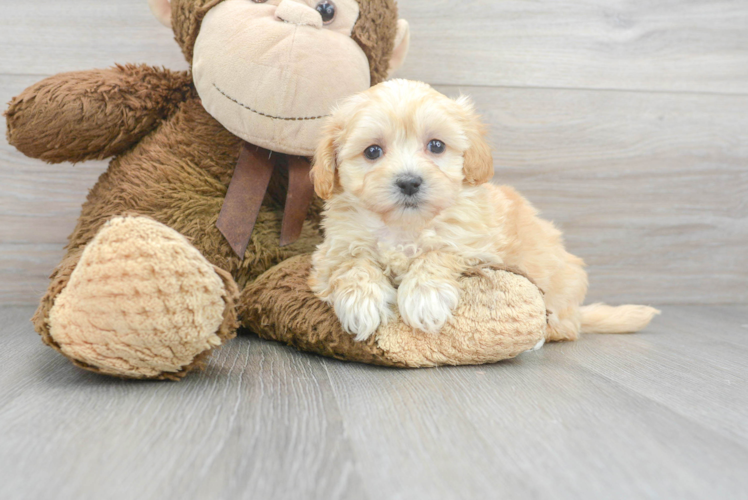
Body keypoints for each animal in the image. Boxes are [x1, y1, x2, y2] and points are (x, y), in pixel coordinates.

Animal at [306, 79, 656, 344]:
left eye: (436, 146)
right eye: (373, 152)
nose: (409, 182)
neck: (406, 225)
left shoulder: (475, 245)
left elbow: (438, 253)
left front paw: (424, 298)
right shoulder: (333, 249)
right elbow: (352, 264)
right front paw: (361, 303)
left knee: (567, 327)